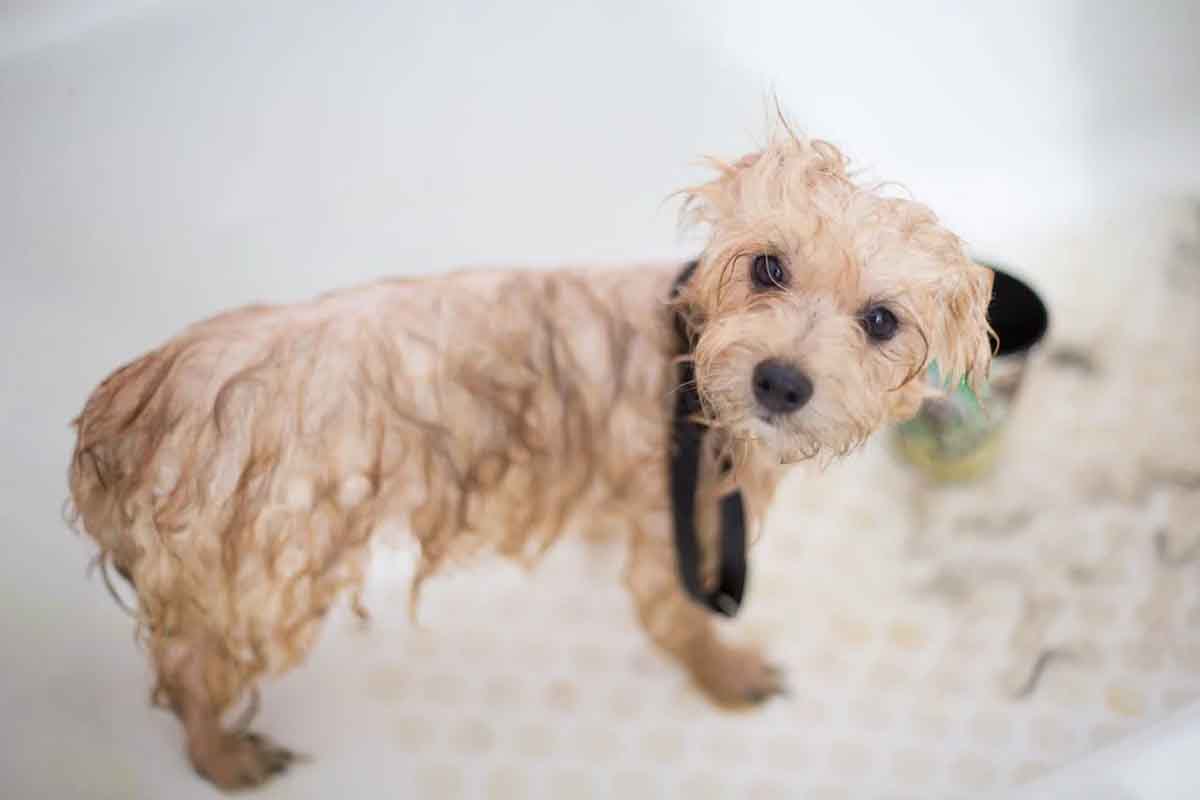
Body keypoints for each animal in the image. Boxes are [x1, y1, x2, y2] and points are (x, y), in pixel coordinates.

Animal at [68, 130, 993, 786]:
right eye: (768, 266)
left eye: (881, 321)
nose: (780, 379)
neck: (686, 363)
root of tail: (125, 410)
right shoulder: (675, 522)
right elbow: (678, 620)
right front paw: (725, 673)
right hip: (260, 576)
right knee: (190, 675)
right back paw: (224, 758)